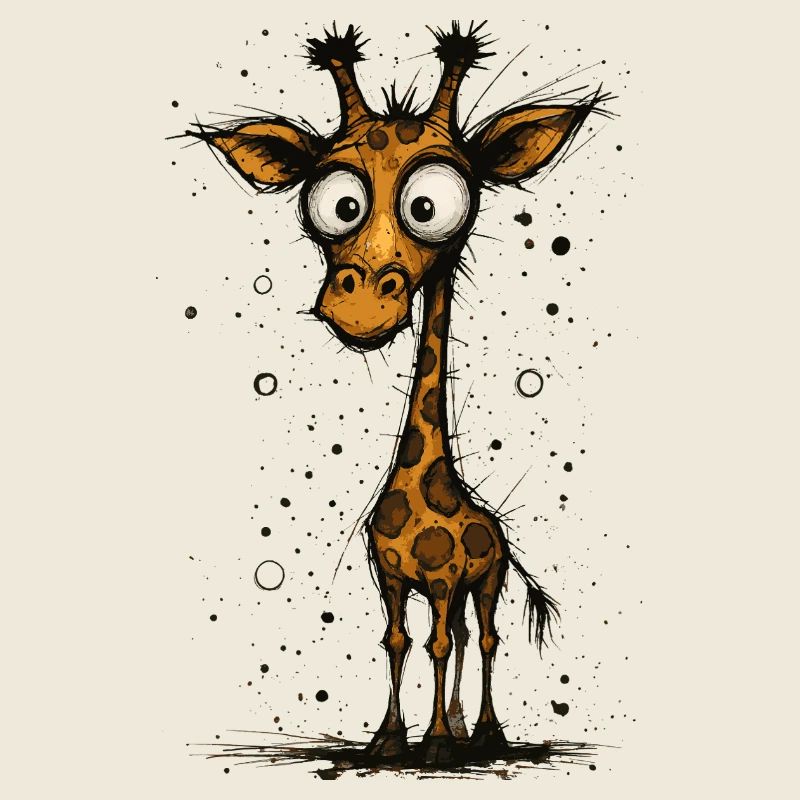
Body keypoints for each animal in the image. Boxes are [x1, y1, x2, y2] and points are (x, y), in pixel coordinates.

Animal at [188, 22, 595, 766]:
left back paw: (482, 732)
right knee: (457, 637)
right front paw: (387, 739)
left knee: (480, 635)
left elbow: (435, 642)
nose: (359, 306)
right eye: (339, 205)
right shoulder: (392, 577)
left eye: (430, 206)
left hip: (487, 579)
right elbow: (400, 640)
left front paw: (432, 744)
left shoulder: (443, 578)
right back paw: (462, 728)